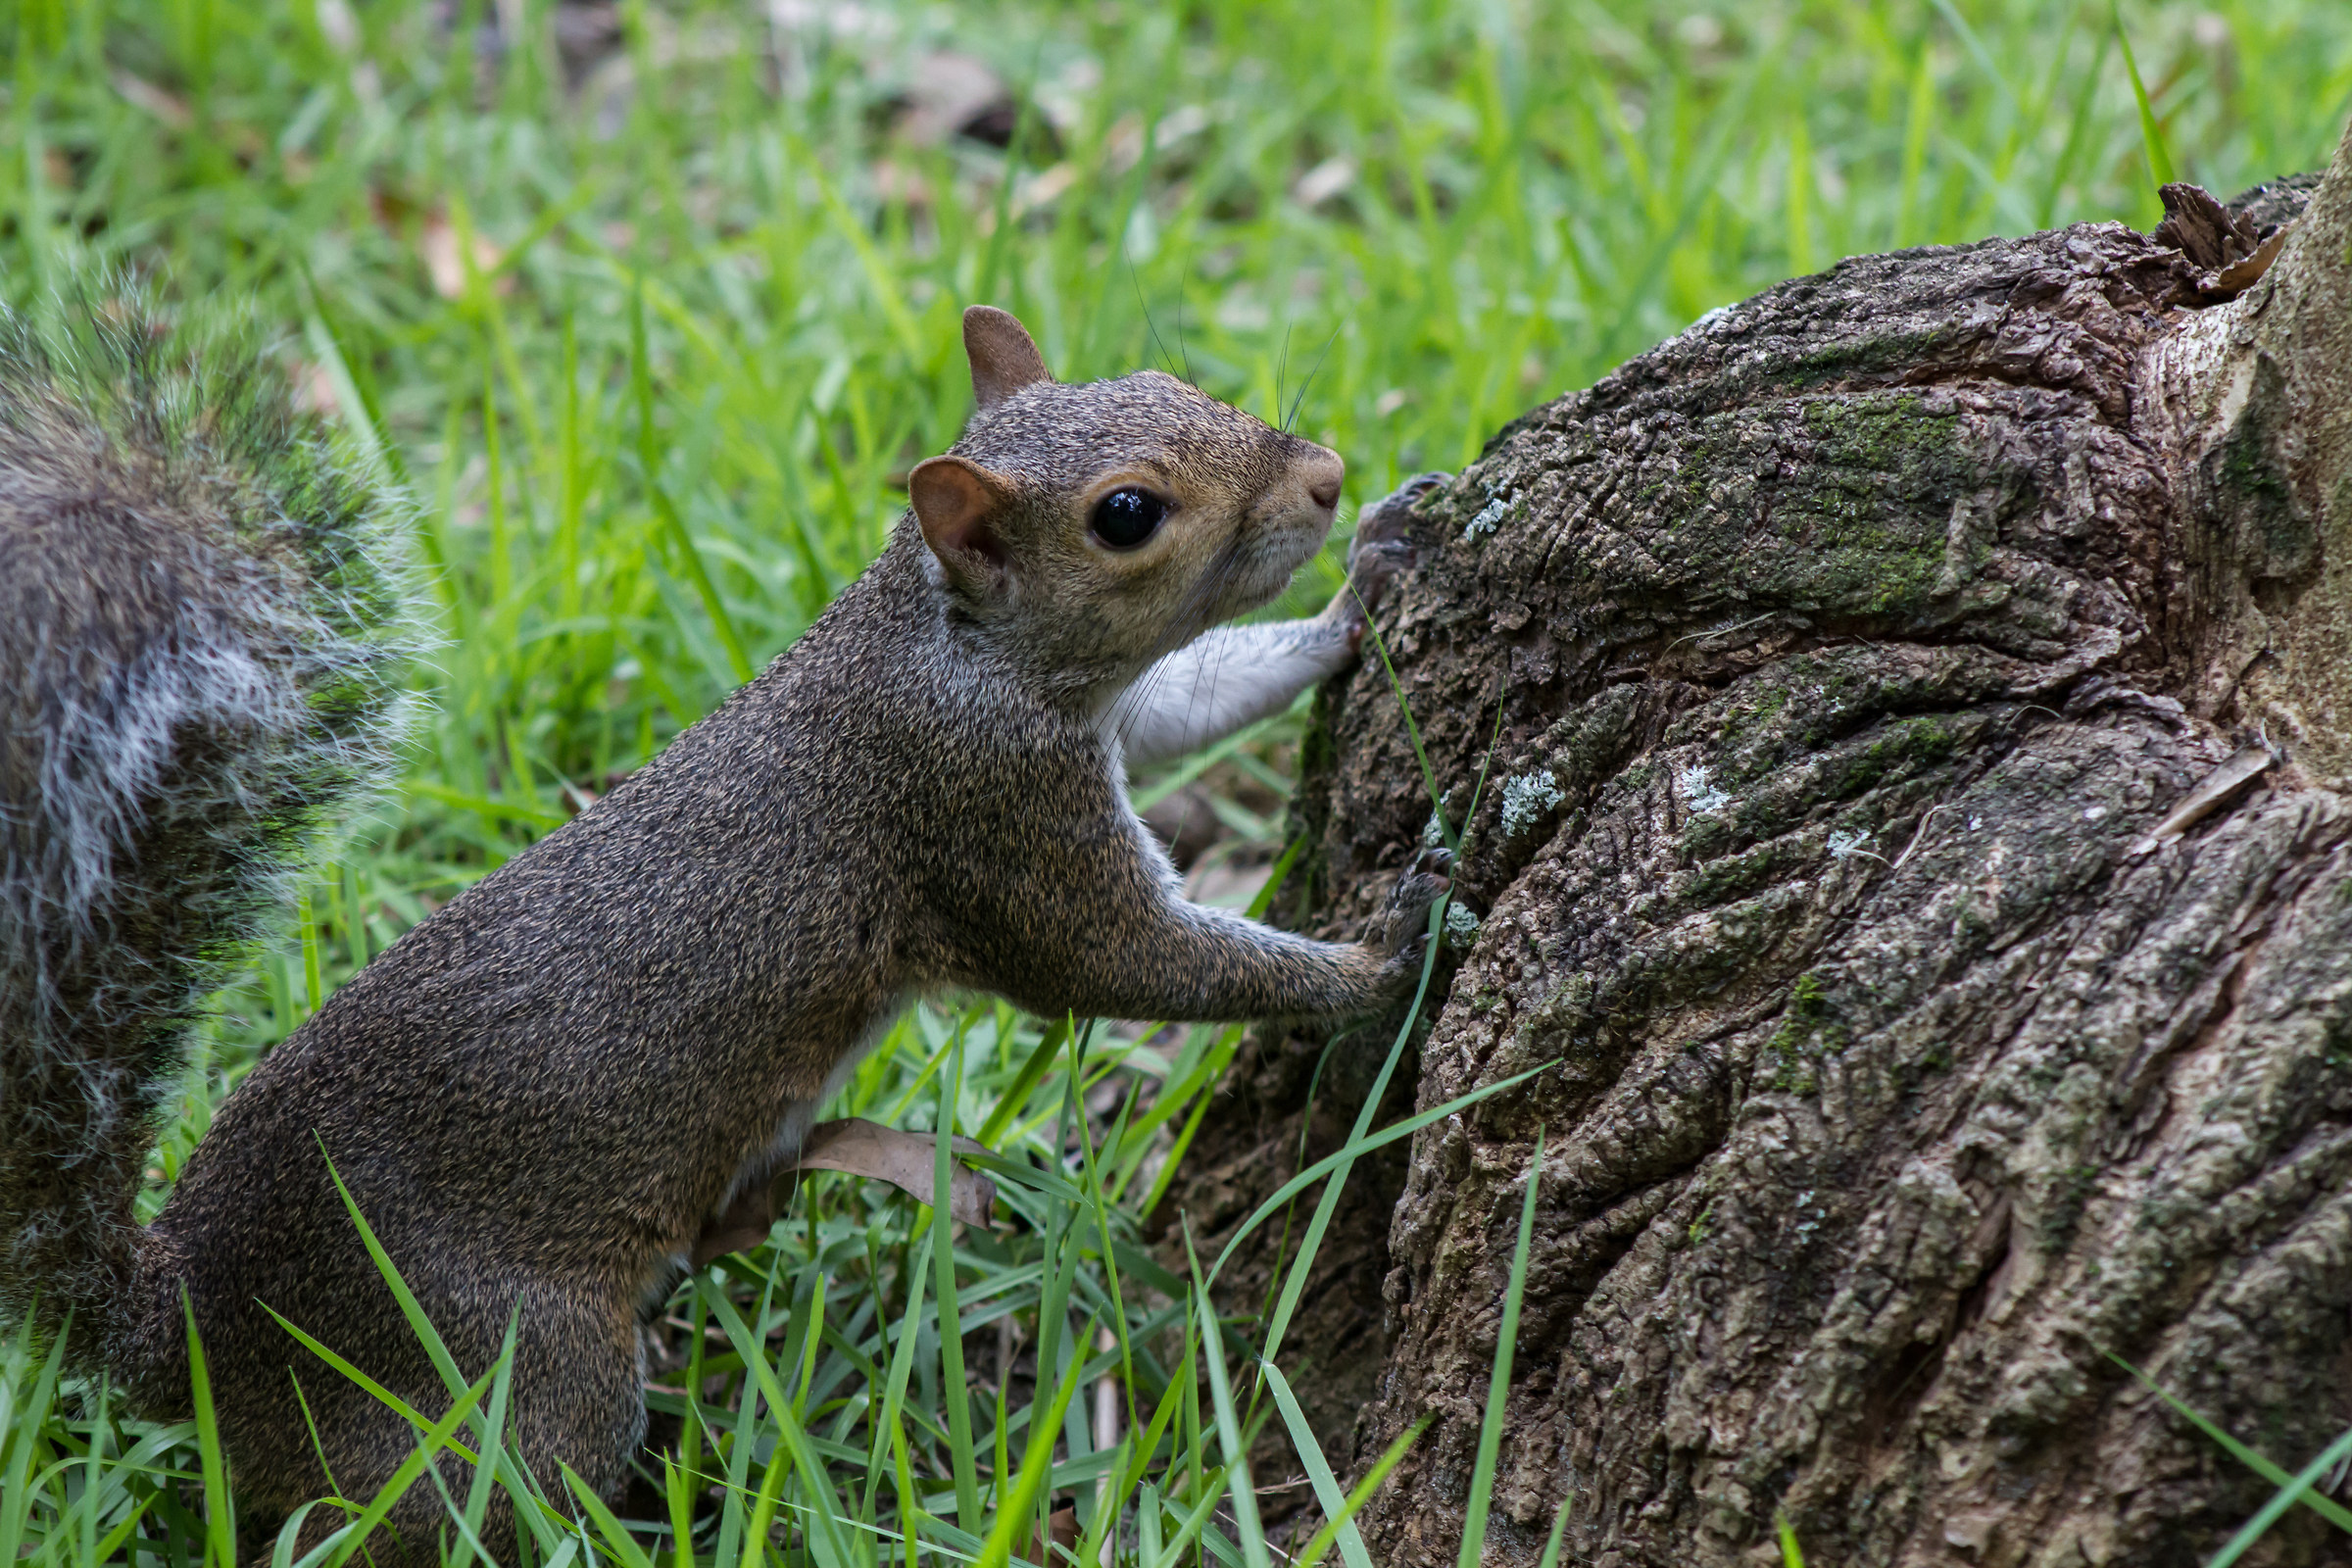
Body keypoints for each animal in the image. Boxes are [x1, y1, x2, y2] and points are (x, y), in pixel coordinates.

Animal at [0, 292, 1447, 1557]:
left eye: (1177, 381)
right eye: (1128, 515)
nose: (1325, 477)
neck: (946, 649)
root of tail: (186, 1321)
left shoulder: (1097, 731)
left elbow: (1199, 699)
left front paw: (1365, 585)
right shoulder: (986, 817)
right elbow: (1125, 960)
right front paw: (1387, 952)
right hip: (500, 1373)